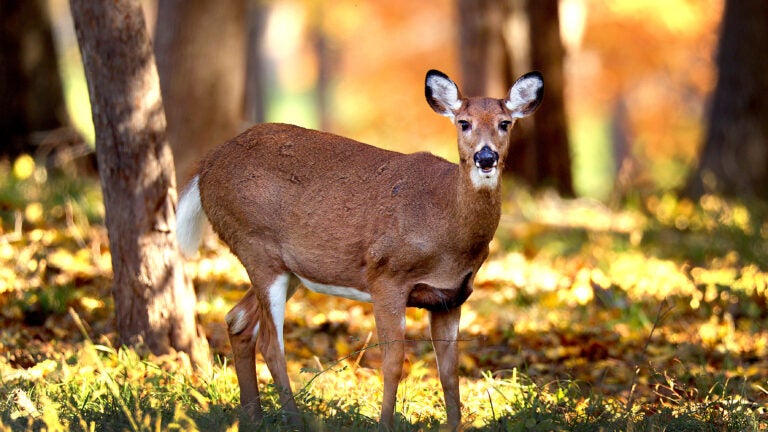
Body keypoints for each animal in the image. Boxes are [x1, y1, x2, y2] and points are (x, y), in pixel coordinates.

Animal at [176, 69, 543, 429]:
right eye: (463, 122)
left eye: (505, 123)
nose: (486, 157)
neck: (445, 223)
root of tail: (207, 166)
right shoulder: (386, 276)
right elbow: (393, 362)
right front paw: (385, 424)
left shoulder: (451, 296)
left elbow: (449, 373)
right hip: (256, 246)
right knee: (270, 341)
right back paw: (293, 419)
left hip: (287, 267)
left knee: (238, 320)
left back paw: (252, 417)